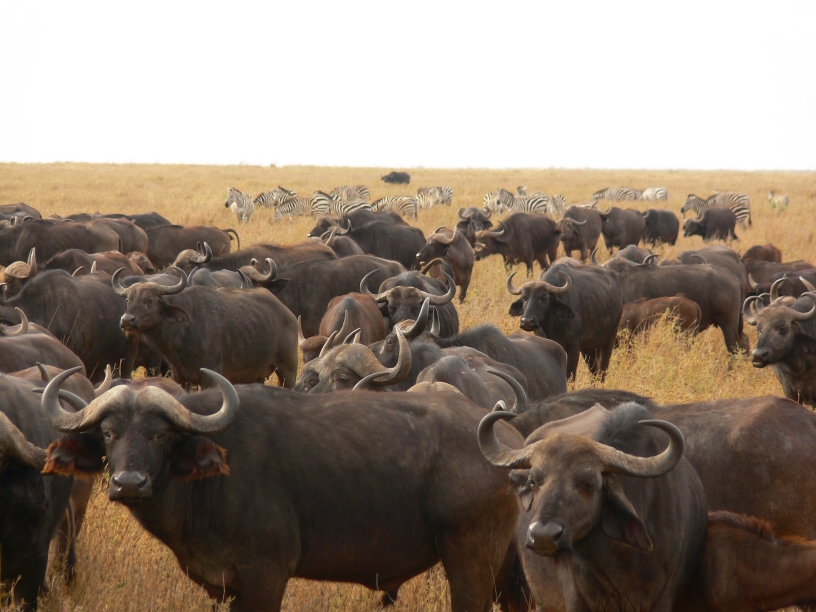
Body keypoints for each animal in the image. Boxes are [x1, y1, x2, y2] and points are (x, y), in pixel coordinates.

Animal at [39, 368, 522, 611]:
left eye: (160, 434)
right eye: (108, 433)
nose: (128, 483)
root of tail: (504, 443)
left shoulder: (265, 576)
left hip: (469, 557)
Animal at [112, 270, 298, 389]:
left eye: (149, 300)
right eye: (128, 300)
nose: (127, 320)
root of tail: (288, 314)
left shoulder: (211, 377)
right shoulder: (179, 377)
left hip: (288, 369)